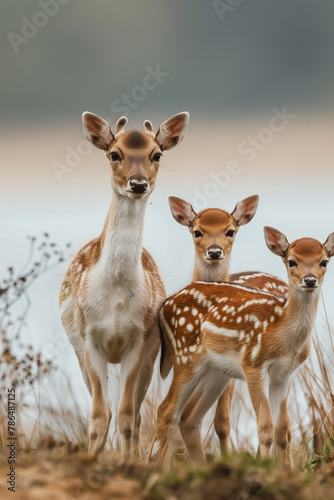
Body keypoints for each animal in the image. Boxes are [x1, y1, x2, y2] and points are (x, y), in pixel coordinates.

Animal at [60, 111, 189, 458]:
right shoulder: (88, 338)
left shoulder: (139, 339)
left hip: (152, 355)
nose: (138, 183)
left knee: (134, 410)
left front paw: (127, 462)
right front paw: (92, 460)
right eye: (114, 154)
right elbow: (99, 415)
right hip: (79, 351)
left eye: (156, 155)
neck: (115, 298)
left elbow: (128, 414)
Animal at [153, 225, 334, 466]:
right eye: (292, 261)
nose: (310, 280)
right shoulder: (253, 364)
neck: (280, 332)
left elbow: (283, 430)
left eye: (324, 261)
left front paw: (285, 470)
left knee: (189, 416)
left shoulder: (284, 374)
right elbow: (265, 427)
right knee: (167, 410)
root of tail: (163, 307)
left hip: (216, 370)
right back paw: (162, 468)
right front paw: (266, 468)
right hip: (185, 355)